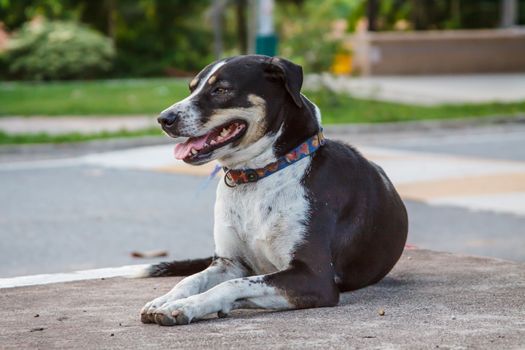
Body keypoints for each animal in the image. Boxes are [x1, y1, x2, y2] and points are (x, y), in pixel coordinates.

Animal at [138, 54, 406, 326]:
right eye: (192, 88)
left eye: (221, 90)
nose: (164, 119)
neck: (258, 175)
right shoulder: (229, 263)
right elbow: (191, 279)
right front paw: (165, 300)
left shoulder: (315, 277)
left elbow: (233, 285)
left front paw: (186, 306)